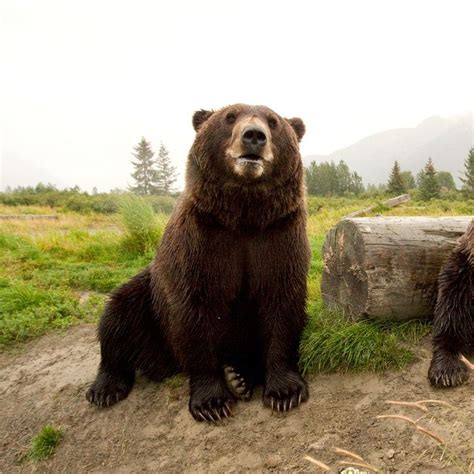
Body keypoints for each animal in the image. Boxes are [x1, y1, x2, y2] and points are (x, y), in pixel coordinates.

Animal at [86, 104, 312, 422]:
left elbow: (281, 303)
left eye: (273, 122)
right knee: (118, 314)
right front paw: (211, 403)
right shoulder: (202, 243)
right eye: (230, 116)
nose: (254, 136)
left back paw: (239, 377)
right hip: (149, 300)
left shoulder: (278, 237)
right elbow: (196, 312)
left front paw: (284, 392)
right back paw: (106, 387)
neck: (244, 215)